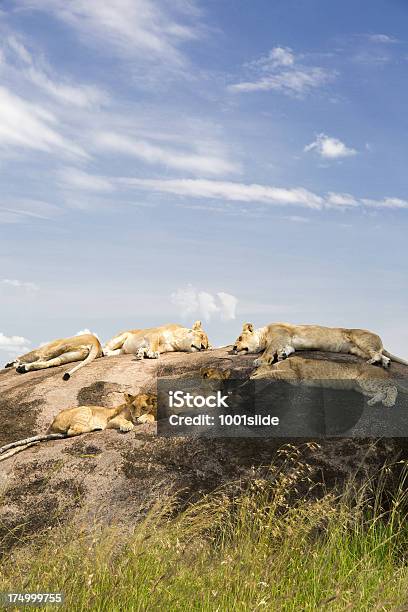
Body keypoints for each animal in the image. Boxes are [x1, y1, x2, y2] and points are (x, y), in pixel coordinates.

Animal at [231, 322, 406, 370]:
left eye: (239, 338)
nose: (233, 348)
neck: (265, 333)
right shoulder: (287, 342)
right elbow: (287, 350)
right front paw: (282, 355)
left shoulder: (280, 336)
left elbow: (268, 350)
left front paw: (260, 360)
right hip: (357, 350)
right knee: (380, 354)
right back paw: (385, 362)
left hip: (361, 339)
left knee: (376, 352)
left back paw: (374, 361)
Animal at [252, 354, 398, 406]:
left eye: (255, 369)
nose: (251, 373)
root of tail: (385, 372)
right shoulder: (294, 380)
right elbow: (275, 372)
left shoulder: (294, 375)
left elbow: (274, 372)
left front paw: (255, 377)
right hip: (360, 388)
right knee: (381, 392)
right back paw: (372, 402)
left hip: (366, 380)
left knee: (392, 388)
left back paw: (389, 402)